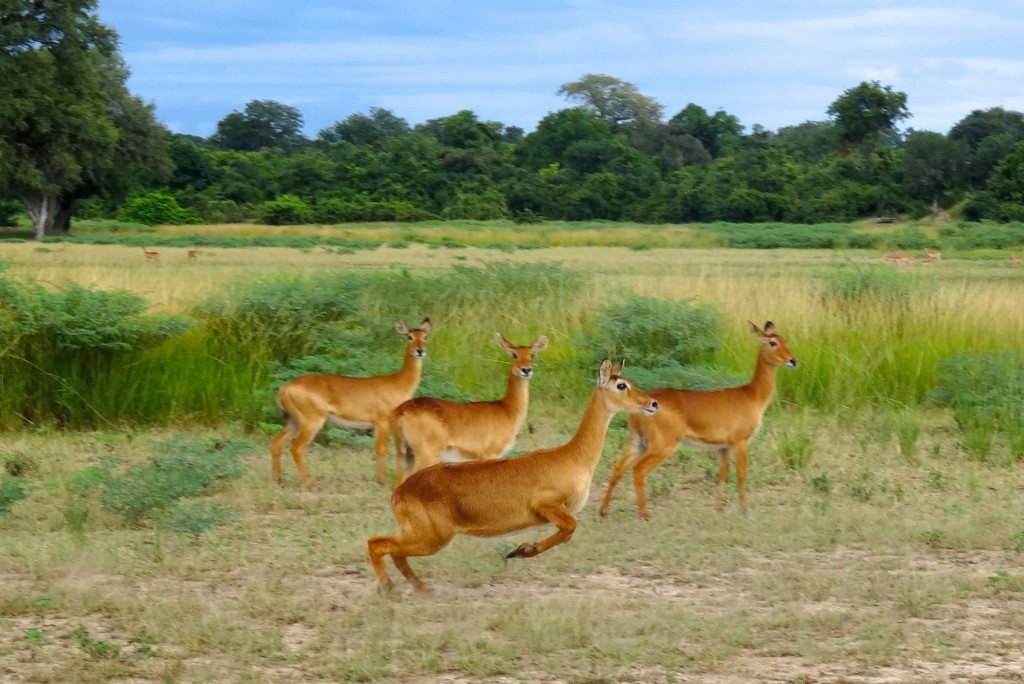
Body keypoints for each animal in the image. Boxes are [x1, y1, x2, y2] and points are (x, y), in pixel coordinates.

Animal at [270, 319, 430, 485]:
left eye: (425, 336)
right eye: (409, 336)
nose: (420, 351)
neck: (398, 384)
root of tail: (284, 389)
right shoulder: (381, 422)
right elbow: (382, 449)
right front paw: (381, 480)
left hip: (294, 422)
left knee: (276, 442)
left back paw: (278, 478)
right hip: (311, 422)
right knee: (296, 447)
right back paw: (309, 481)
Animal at [368, 358, 655, 593]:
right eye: (621, 385)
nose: (652, 403)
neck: (573, 457)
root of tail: (400, 493)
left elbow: (568, 531)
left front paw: (520, 549)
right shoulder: (546, 504)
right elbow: (570, 528)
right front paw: (520, 550)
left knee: (388, 548)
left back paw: (421, 588)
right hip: (431, 538)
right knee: (376, 543)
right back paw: (389, 588)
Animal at [391, 331, 552, 483]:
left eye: (532, 354)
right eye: (514, 354)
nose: (526, 370)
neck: (507, 409)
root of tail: (401, 411)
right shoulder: (492, 453)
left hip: (404, 454)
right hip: (427, 454)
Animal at [598, 321, 798, 518]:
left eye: (785, 340)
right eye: (773, 342)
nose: (793, 361)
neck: (752, 396)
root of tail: (641, 407)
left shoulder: (722, 447)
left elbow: (723, 473)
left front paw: (719, 508)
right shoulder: (741, 441)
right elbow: (742, 473)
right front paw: (744, 510)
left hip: (638, 442)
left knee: (618, 466)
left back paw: (604, 510)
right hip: (663, 445)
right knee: (638, 470)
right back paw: (645, 513)